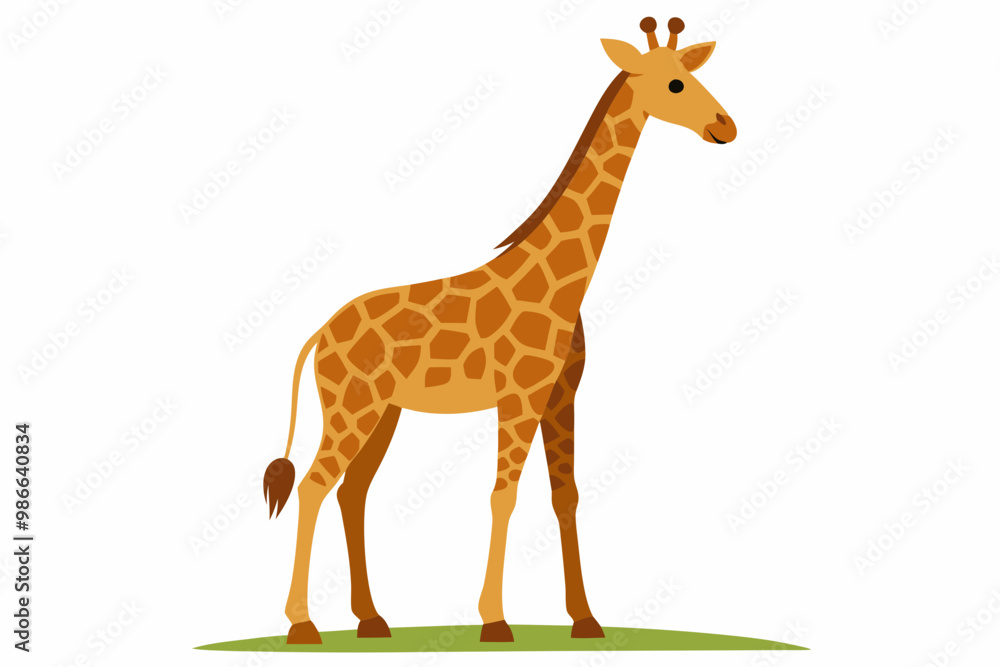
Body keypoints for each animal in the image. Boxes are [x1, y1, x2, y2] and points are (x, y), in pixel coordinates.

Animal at [262, 16, 736, 645]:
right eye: (675, 84)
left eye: (690, 73)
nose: (725, 126)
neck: (562, 280)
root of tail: (319, 333)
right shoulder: (519, 396)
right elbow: (503, 496)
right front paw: (495, 621)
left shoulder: (561, 397)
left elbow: (566, 497)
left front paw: (586, 619)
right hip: (350, 407)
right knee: (315, 486)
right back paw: (303, 626)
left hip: (384, 411)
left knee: (352, 492)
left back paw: (372, 620)